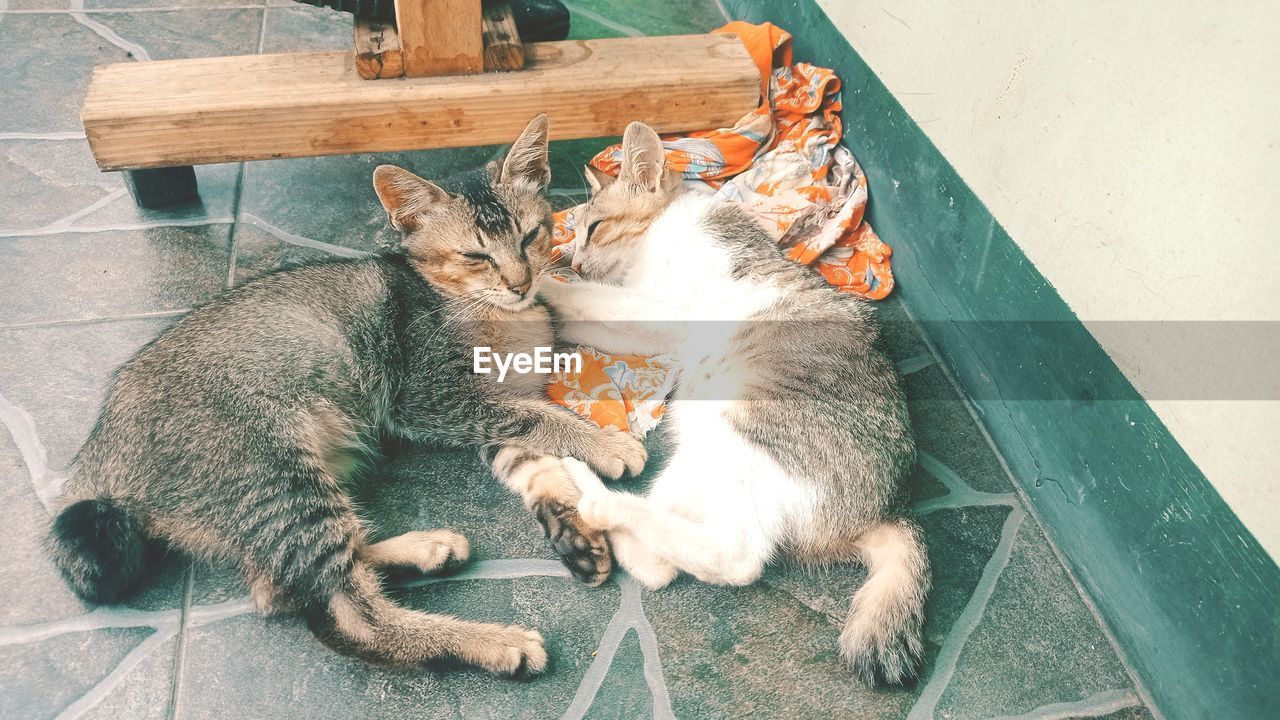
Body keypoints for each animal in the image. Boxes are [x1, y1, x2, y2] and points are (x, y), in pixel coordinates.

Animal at [540, 120, 931, 681]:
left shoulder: (662, 307)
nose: (573, 259)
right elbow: (593, 314)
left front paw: (543, 285)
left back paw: (592, 493)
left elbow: (586, 300)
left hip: (741, 435)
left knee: (736, 557)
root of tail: (887, 509)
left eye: (592, 229)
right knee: (662, 562)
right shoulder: (650, 324)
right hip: (700, 456)